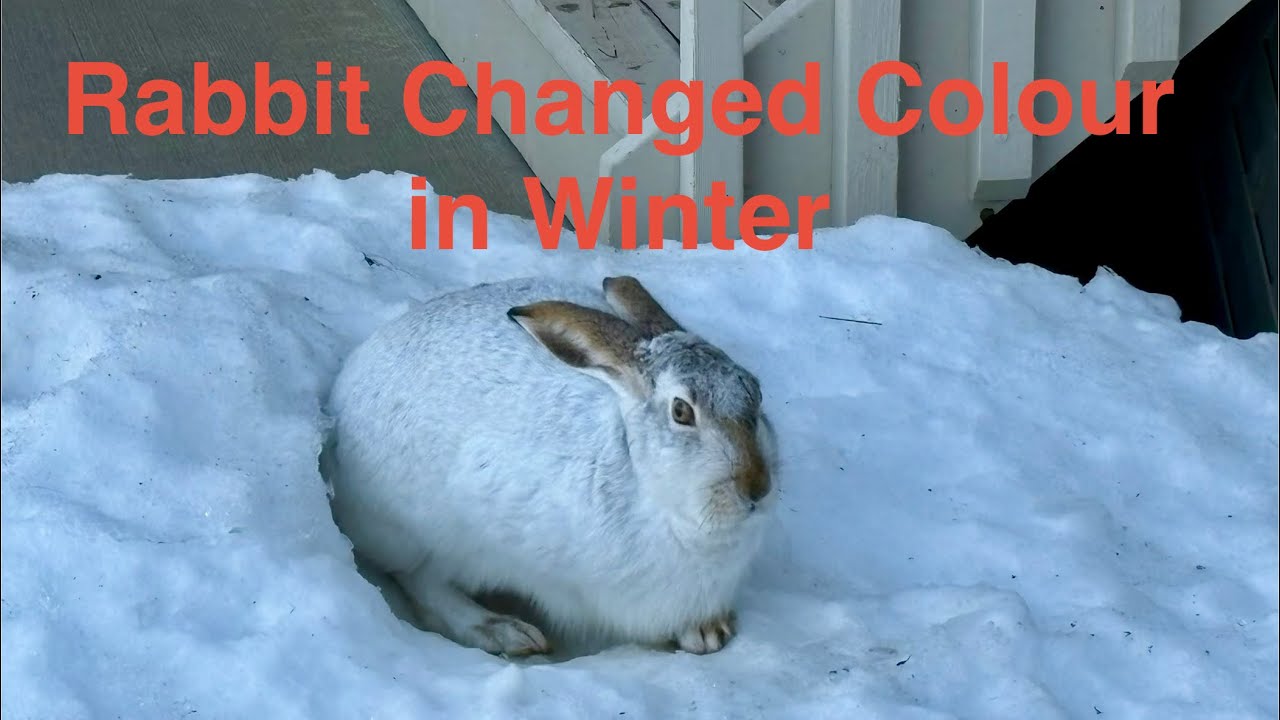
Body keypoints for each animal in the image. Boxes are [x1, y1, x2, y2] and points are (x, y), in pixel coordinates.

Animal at [323, 275, 780, 658]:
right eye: (681, 411)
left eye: (756, 395)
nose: (757, 487)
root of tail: (345, 382)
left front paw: (708, 632)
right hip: (423, 530)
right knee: (420, 579)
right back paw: (502, 630)